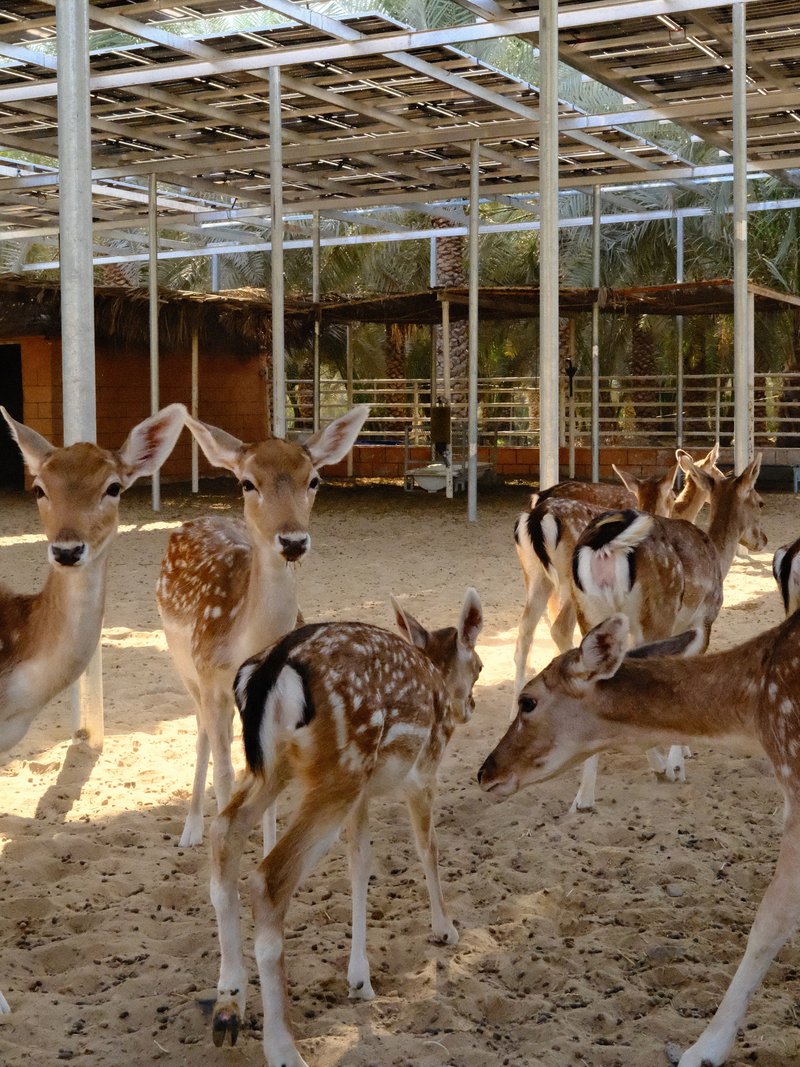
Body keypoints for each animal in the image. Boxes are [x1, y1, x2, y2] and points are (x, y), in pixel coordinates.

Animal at [156, 405, 370, 848]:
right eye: (247, 482)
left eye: (314, 480)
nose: (293, 541)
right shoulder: (210, 678)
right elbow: (225, 774)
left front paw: (268, 850)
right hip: (184, 666)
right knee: (201, 732)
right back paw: (190, 829)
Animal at [207, 588, 483, 1067]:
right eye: (481, 667)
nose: (469, 707)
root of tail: (271, 666)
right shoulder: (422, 772)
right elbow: (427, 847)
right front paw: (445, 929)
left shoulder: (362, 796)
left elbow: (361, 863)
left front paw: (360, 979)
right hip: (341, 767)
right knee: (269, 877)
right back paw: (284, 1049)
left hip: (278, 768)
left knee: (226, 832)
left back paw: (229, 1005)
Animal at [567, 453, 766, 809]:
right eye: (760, 501)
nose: (763, 539)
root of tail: (605, 544)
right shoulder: (704, 622)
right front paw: (678, 762)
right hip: (655, 613)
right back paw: (661, 768)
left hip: (589, 612)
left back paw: (584, 797)